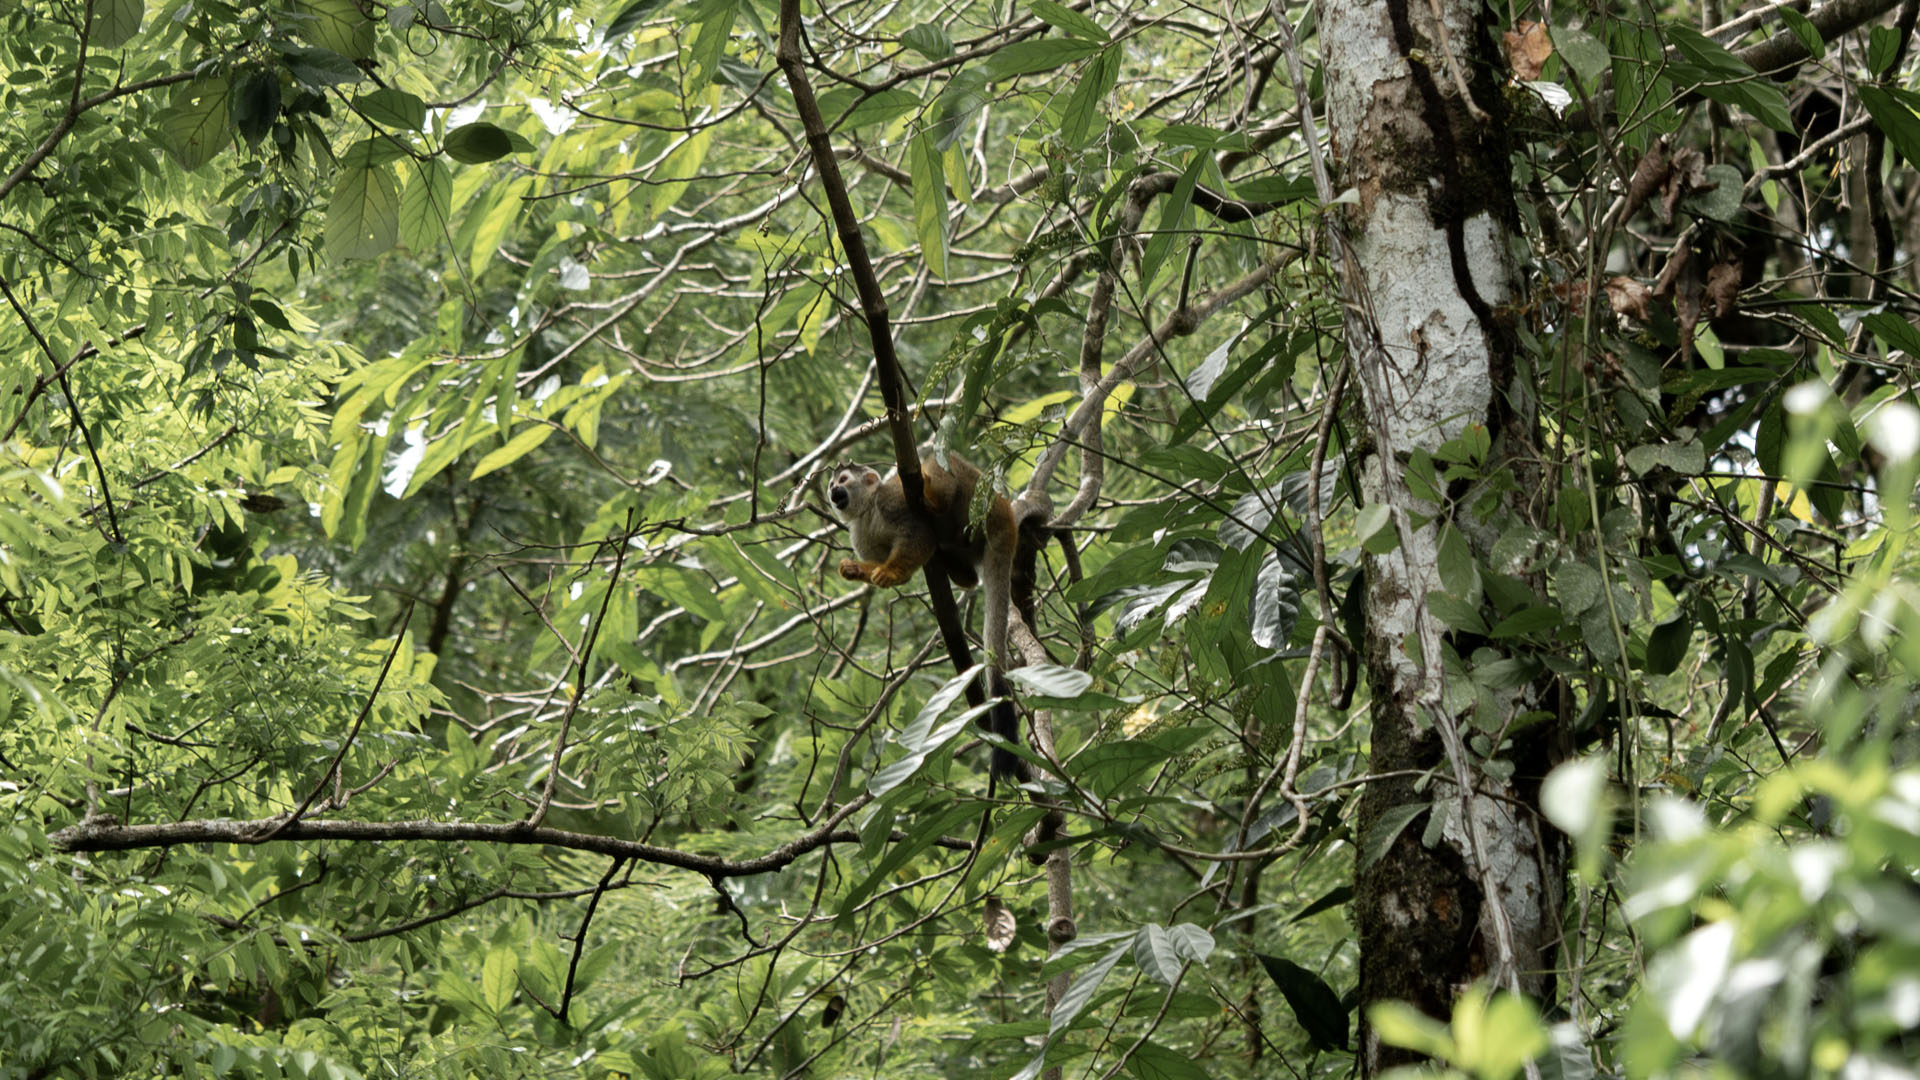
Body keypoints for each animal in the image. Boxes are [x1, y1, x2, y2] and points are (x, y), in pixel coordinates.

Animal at [827, 453, 1047, 781]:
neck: (867, 511)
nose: (833, 492)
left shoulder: (890, 501)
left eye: (842, 481)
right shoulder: (860, 534)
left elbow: (917, 536)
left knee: (941, 463)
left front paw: (891, 572)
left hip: (980, 508)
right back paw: (958, 571)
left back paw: (930, 494)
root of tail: (1006, 515)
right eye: (832, 484)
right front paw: (858, 570)